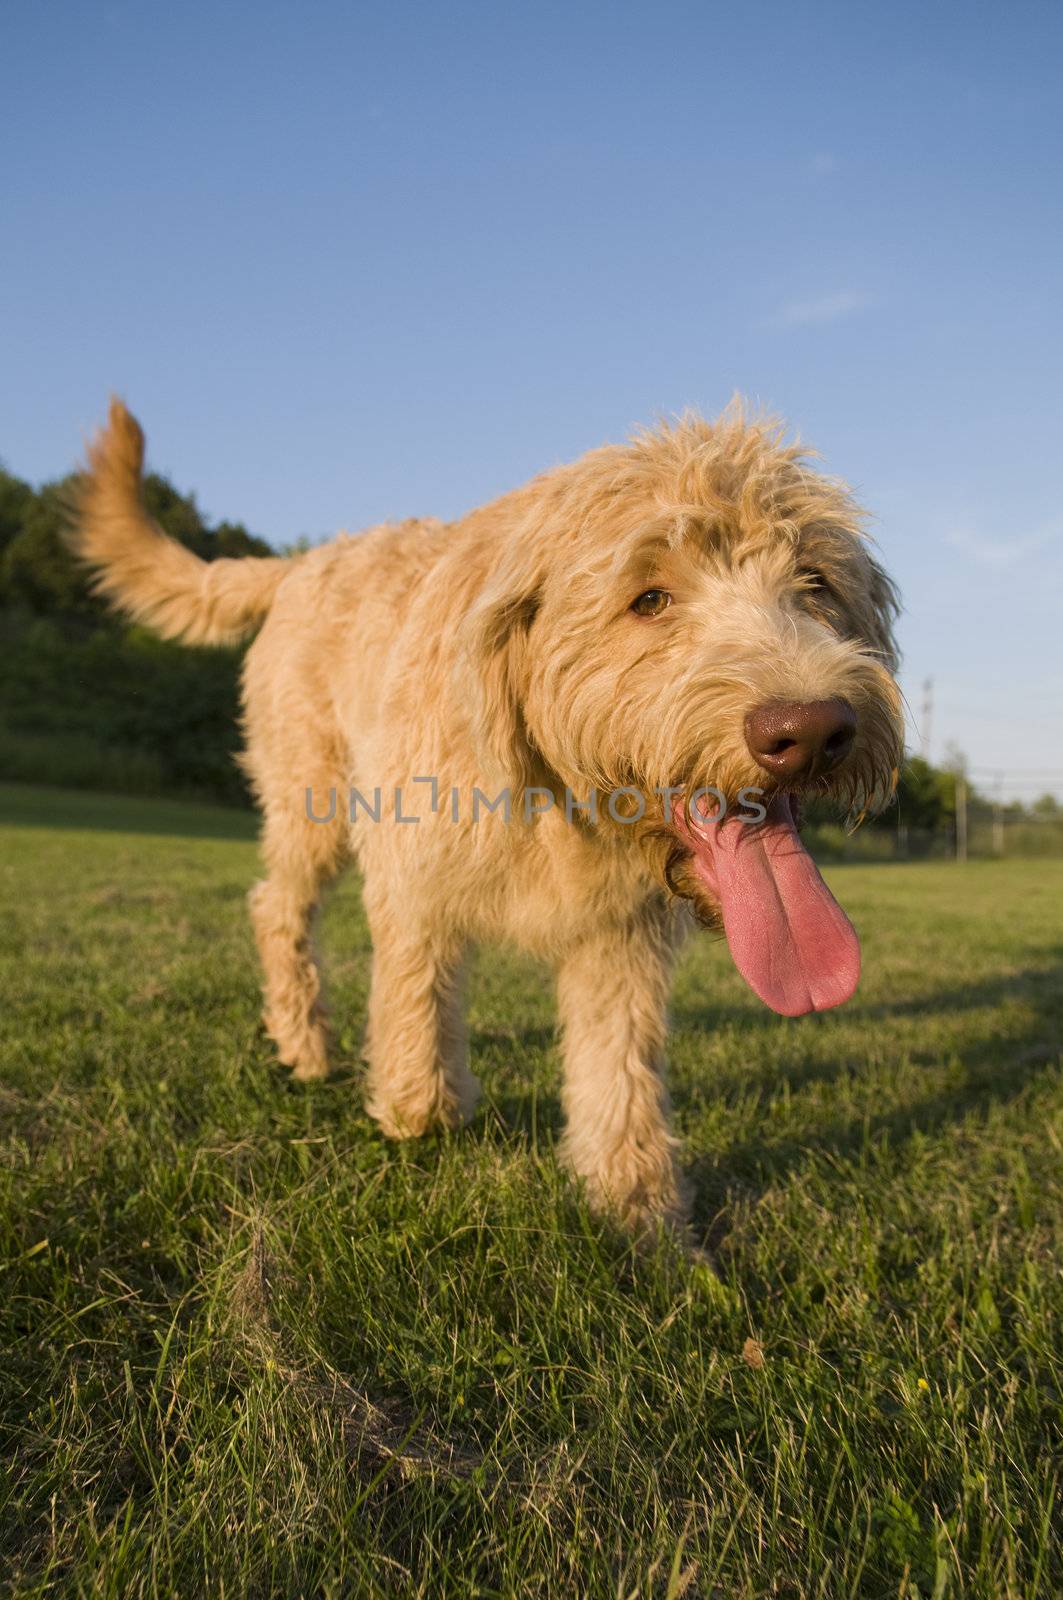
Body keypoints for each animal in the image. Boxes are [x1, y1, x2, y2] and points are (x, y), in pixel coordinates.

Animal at [76, 396, 902, 1222]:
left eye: (814, 582)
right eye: (649, 599)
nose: (811, 730)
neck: (554, 792)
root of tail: (309, 559)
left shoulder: (618, 941)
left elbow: (618, 1071)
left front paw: (635, 1206)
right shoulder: (412, 880)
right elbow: (414, 1001)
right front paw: (417, 1112)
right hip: (310, 804)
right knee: (276, 907)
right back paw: (304, 1043)